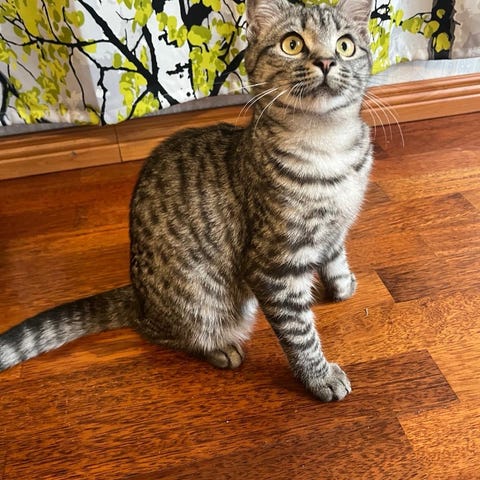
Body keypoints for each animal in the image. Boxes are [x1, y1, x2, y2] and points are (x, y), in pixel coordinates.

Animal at [0, 0, 373, 402]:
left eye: (346, 45)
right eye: (292, 44)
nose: (326, 61)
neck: (329, 147)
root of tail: (139, 298)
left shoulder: (337, 225)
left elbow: (335, 253)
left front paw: (342, 284)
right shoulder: (273, 267)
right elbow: (299, 332)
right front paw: (319, 377)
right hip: (201, 300)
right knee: (161, 333)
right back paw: (219, 349)